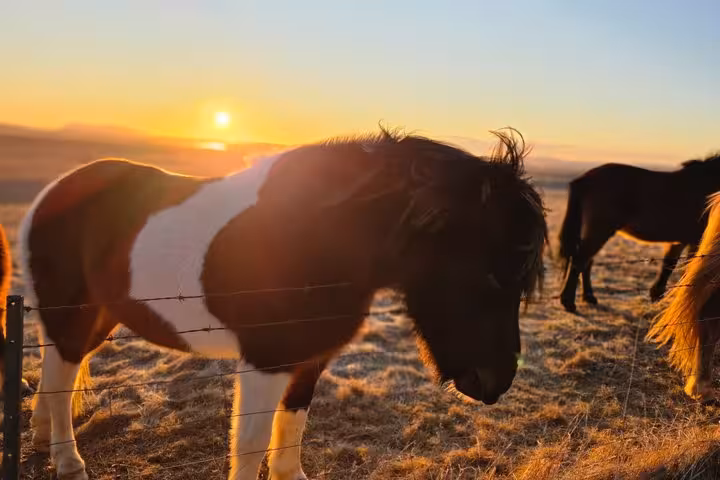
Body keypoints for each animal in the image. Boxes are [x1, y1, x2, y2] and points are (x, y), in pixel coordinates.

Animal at [20, 127, 548, 480]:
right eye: (486, 273)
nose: (496, 382)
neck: (312, 240)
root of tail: (54, 191)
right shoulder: (265, 362)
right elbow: (251, 444)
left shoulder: (308, 361)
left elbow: (291, 430)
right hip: (70, 314)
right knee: (62, 382)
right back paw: (68, 461)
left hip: (94, 318)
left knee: (54, 372)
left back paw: (41, 438)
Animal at [557, 154, 720, 313]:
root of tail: (584, 179)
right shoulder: (695, 240)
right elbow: (689, 268)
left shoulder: (680, 240)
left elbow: (669, 265)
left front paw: (656, 294)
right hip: (600, 231)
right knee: (579, 261)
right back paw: (569, 303)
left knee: (586, 262)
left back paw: (588, 298)